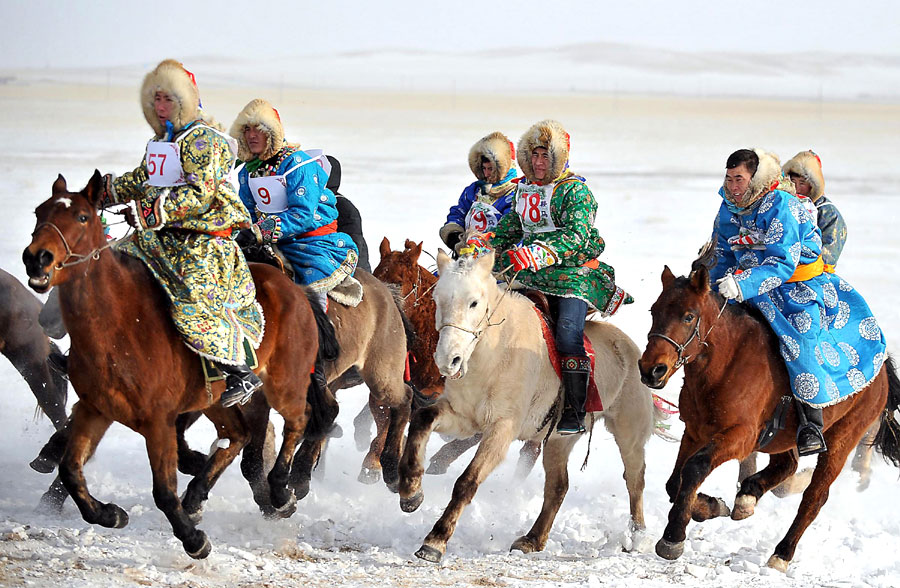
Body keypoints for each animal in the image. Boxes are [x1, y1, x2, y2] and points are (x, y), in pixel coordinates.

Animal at [22, 171, 338, 560]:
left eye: (82, 217)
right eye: (40, 212)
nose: (37, 258)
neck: (120, 325)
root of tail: (296, 291)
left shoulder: (158, 420)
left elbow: (163, 490)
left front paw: (194, 540)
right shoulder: (94, 409)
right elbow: (70, 469)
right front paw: (110, 514)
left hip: (285, 382)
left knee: (298, 420)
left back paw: (280, 491)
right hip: (217, 399)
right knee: (238, 436)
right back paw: (198, 495)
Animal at [398, 250, 652, 564]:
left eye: (474, 302)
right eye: (437, 299)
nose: (449, 360)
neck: (495, 354)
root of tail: (630, 348)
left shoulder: (501, 429)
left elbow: (467, 482)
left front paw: (435, 541)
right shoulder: (463, 417)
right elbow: (422, 418)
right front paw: (410, 493)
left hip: (629, 432)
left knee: (635, 480)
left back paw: (638, 537)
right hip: (558, 441)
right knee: (558, 487)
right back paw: (532, 540)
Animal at [640, 264, 900, 572]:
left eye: (689, 316)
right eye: (654, 310)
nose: (651, 370)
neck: (726, 363)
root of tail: (882, 368)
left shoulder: (740, 436)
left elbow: (694, 469)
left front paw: (673, 537)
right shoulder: (695, 431)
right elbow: (675, 482)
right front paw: (711, 505)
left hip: (842, 439)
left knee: (815, 497)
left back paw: (782, 553)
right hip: (784, 438)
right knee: (786, 466)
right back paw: (747, 497)